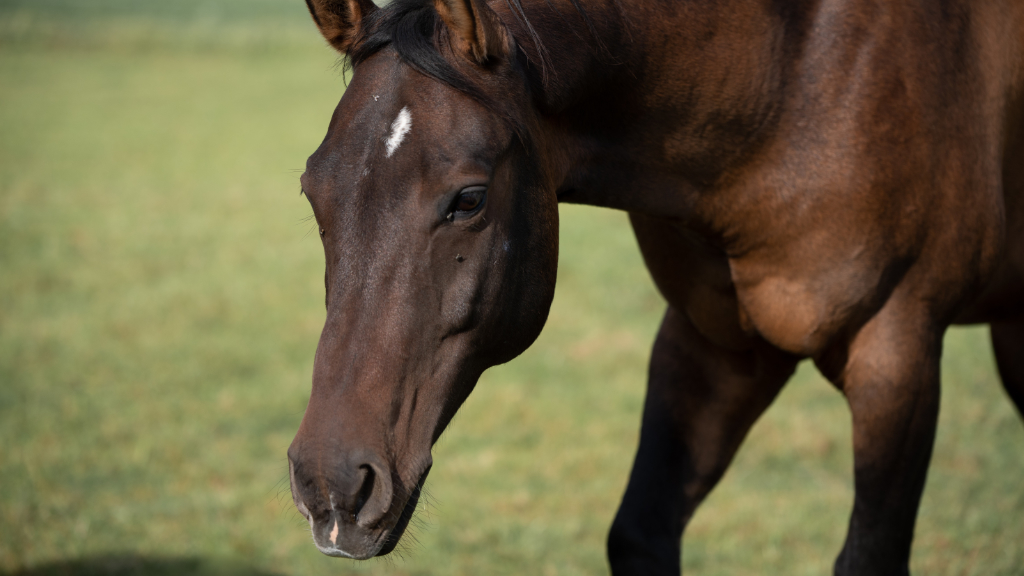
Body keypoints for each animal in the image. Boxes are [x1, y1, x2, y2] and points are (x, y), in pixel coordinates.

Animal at [286, 0, 1024, 569]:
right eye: (313, 190)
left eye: (468, 199)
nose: (332, 486)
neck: (796, 75)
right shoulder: (713, 346)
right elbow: (640, 532)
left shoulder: (896, 356)